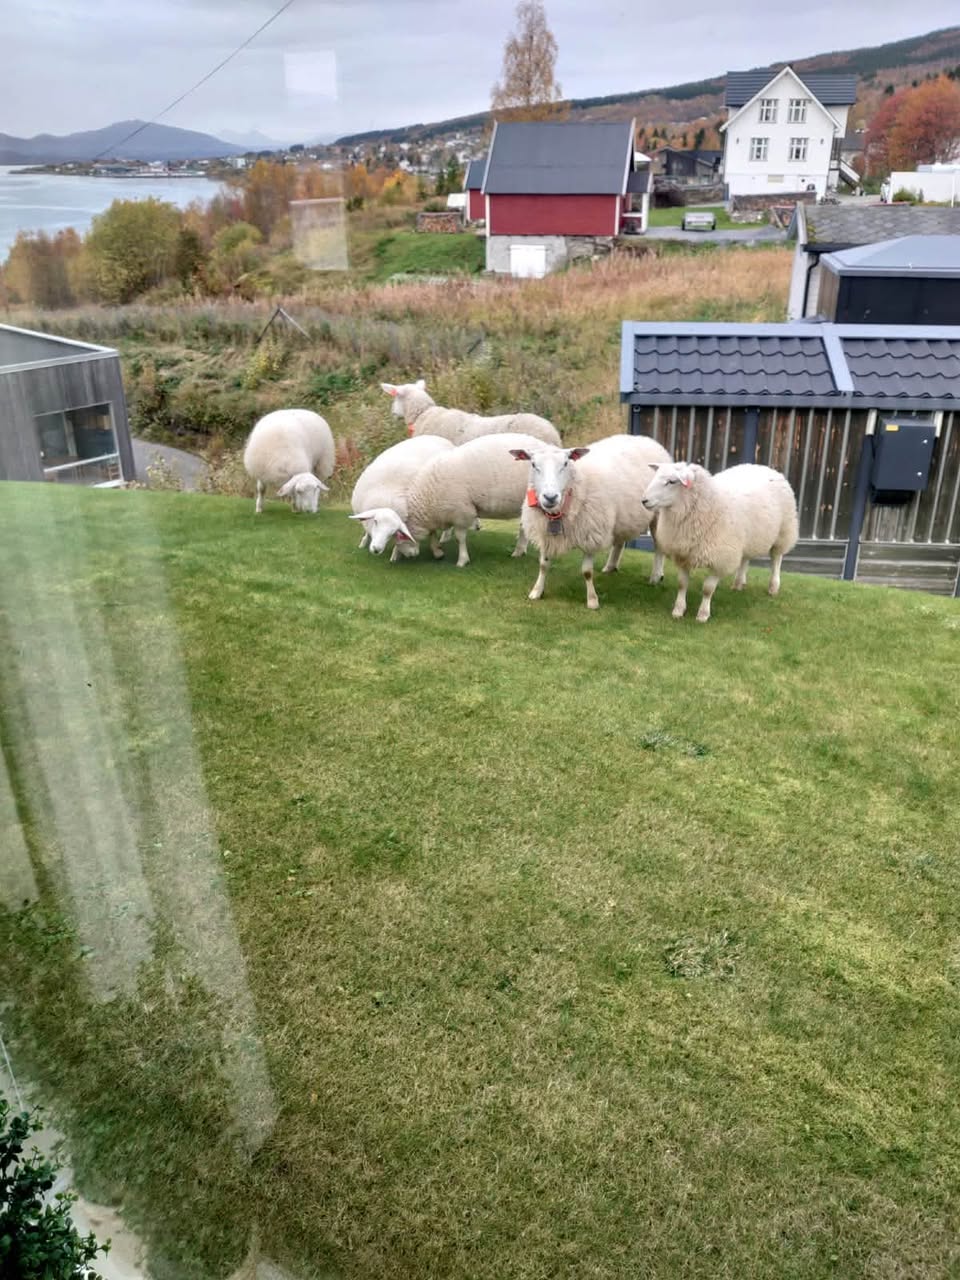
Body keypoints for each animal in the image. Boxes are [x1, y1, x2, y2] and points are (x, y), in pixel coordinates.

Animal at [364, 431, 552, 567]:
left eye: (397, 534)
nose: (410, 555)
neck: (428, 497)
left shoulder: (461, 512)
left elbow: (460, 537)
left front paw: (462, 560)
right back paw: (520, 550)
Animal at [510, 433, 672, 609]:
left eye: (566, 463)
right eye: (533, 465)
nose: (550, 497)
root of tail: (646, 439)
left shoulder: (590, 533)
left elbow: (587, 572)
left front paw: (592, 600)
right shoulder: (545, 533)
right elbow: (543, 565)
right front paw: (536, 591)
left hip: (657, 513)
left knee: (659, 546)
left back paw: (656, 576)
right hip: (621, 517)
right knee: (620, 542)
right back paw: (610, 567)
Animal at [640, 461, 799, 623]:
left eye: (671, 482)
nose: (644, 500)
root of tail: (764, 467)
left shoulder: (720, 558)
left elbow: (708, 589)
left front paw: (703, 614)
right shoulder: (684, 553)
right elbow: (682, 584)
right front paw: (678, 610)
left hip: (784, 531)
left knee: (776, 559)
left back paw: (773, 587)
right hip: (747, 538)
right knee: (745, 558)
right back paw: (738, 583)